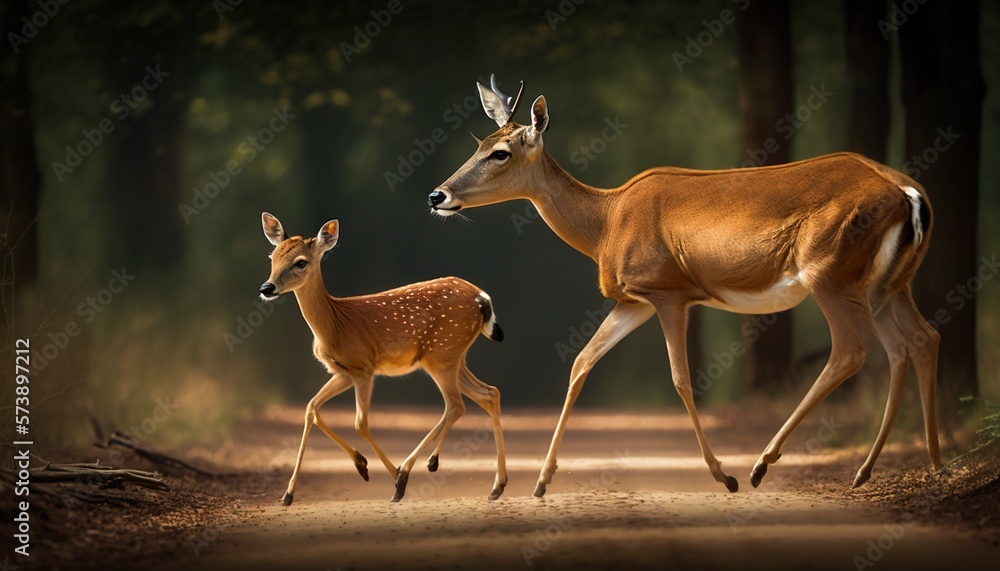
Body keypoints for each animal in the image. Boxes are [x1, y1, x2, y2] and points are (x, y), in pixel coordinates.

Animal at [258, 212, 508, 502]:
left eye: (300, 262)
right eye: (272, 257)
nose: (267, 287)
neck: (335, 325)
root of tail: (483, 299)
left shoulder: (364, 368)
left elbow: (360, 423)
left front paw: (391, 477)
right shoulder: (343, 372)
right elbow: (311, 409)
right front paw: (289, 493)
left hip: (441, 353)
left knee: (456, 404)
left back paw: (411, 471)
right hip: (454, 356)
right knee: (489, 393)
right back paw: (495, 486)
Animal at [430, 75, 936, 496]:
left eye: (500, 151)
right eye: (480, 142)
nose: (438, 195)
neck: (606, 224)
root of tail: (910, 195)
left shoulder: (668, 291)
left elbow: (681, 379)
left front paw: (723, 476)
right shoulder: (632, 300)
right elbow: (581, 362)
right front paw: (539, 483)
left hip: (830, 273)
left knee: (853, 352)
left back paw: (761, 467)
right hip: (889, 286)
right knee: (916, 341)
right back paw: (909, 467)